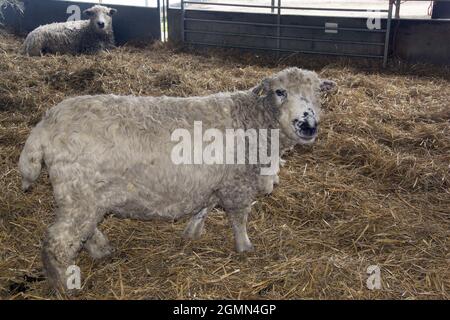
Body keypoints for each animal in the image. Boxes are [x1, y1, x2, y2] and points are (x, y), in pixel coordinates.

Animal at [19, 68, 336, 292]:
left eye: (317, 93)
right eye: (280, 92)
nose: (308, 125)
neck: (255, 120)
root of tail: (45, 124)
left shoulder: (214, 181)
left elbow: (205, 207)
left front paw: (192, 232)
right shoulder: (237, 184)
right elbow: (238, 218)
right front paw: (244, 248)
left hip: (84, 195)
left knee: (83, 230)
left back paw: (101, 250)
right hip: (78, 193)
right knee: (58, 241)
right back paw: (64, 285)